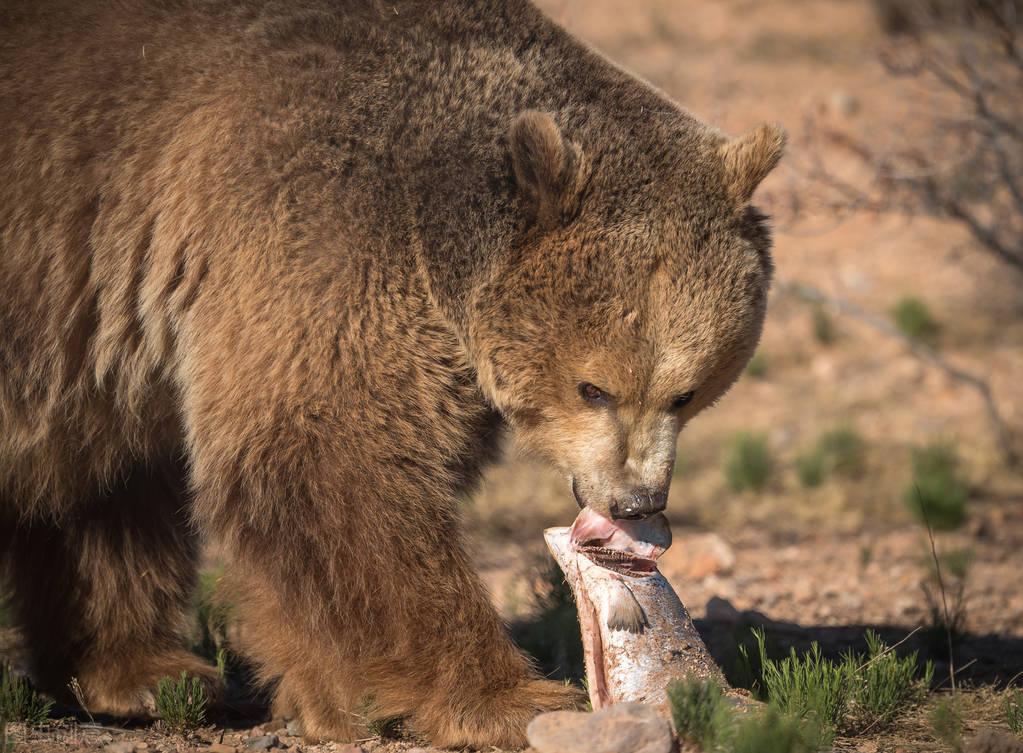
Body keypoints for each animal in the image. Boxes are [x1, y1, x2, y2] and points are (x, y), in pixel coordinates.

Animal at [0, 0, 781, 748]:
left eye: (687, 391)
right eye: (593, 388)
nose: (634, 502)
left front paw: (334, 697)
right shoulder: (312, 223)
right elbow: (338, 460)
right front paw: (509, 696)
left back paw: (145, 671)